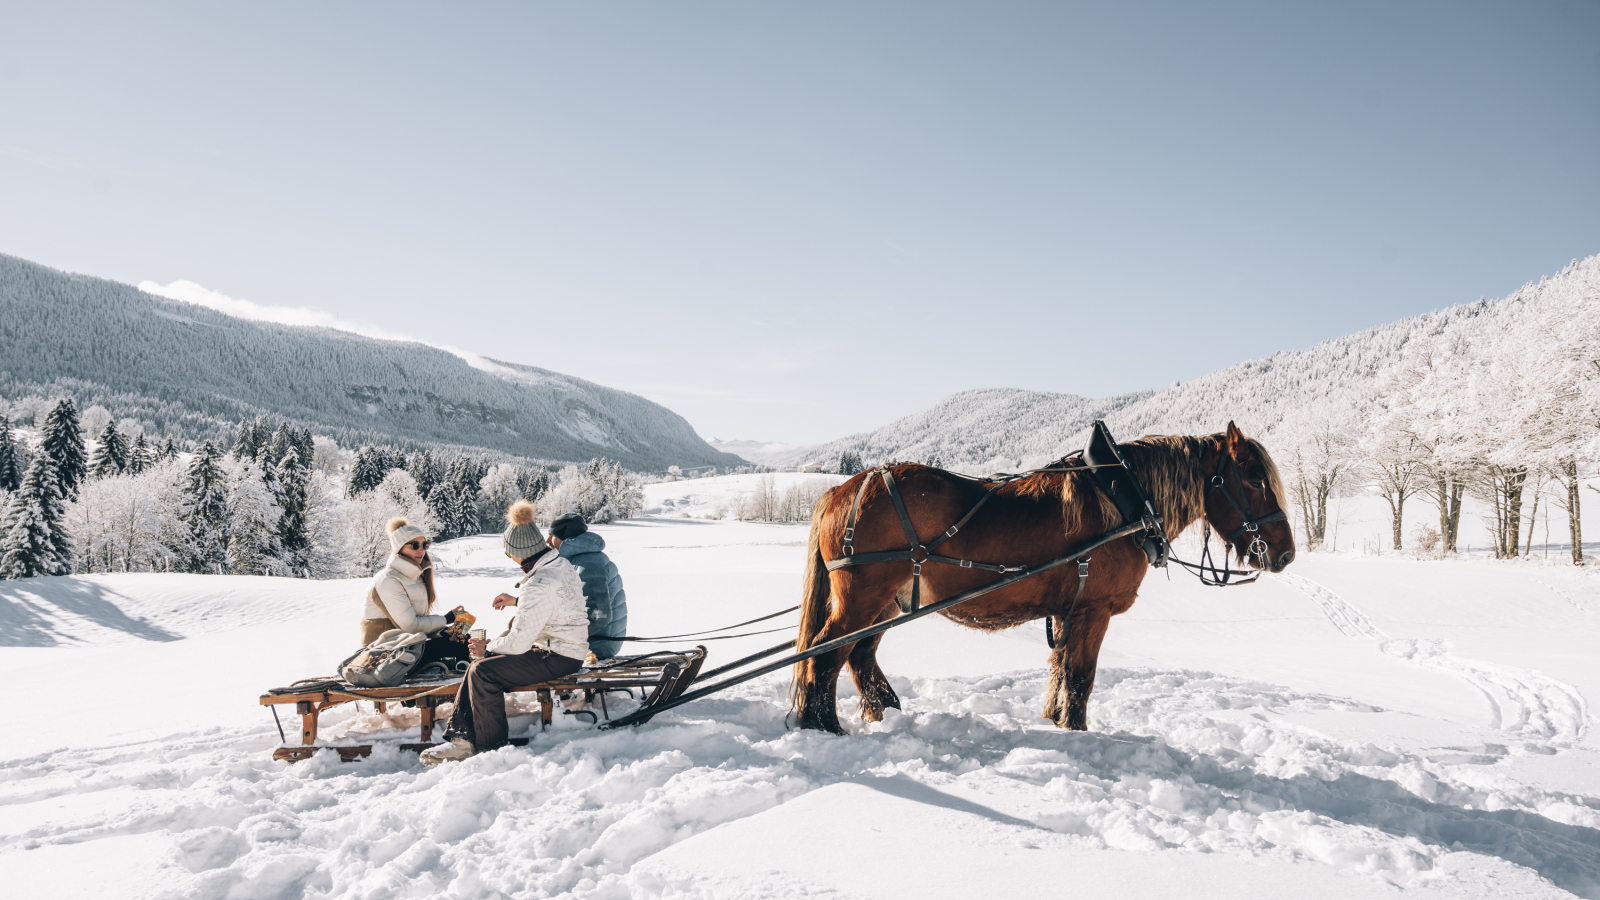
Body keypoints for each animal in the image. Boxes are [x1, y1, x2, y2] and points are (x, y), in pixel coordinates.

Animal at [793, 419, 1292, 730]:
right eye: (1253, 479)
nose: (1285, 553)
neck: (1125, 502)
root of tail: (840, 489)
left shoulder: (1069, 612)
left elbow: (1059, 671)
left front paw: (1053, 721)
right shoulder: (1094, 612)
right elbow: (1081, 678)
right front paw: (1076, 731)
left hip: (887, 602)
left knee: (858, 656)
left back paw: (882, 713)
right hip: (861, 599)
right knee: (824, 654)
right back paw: (825, 726)